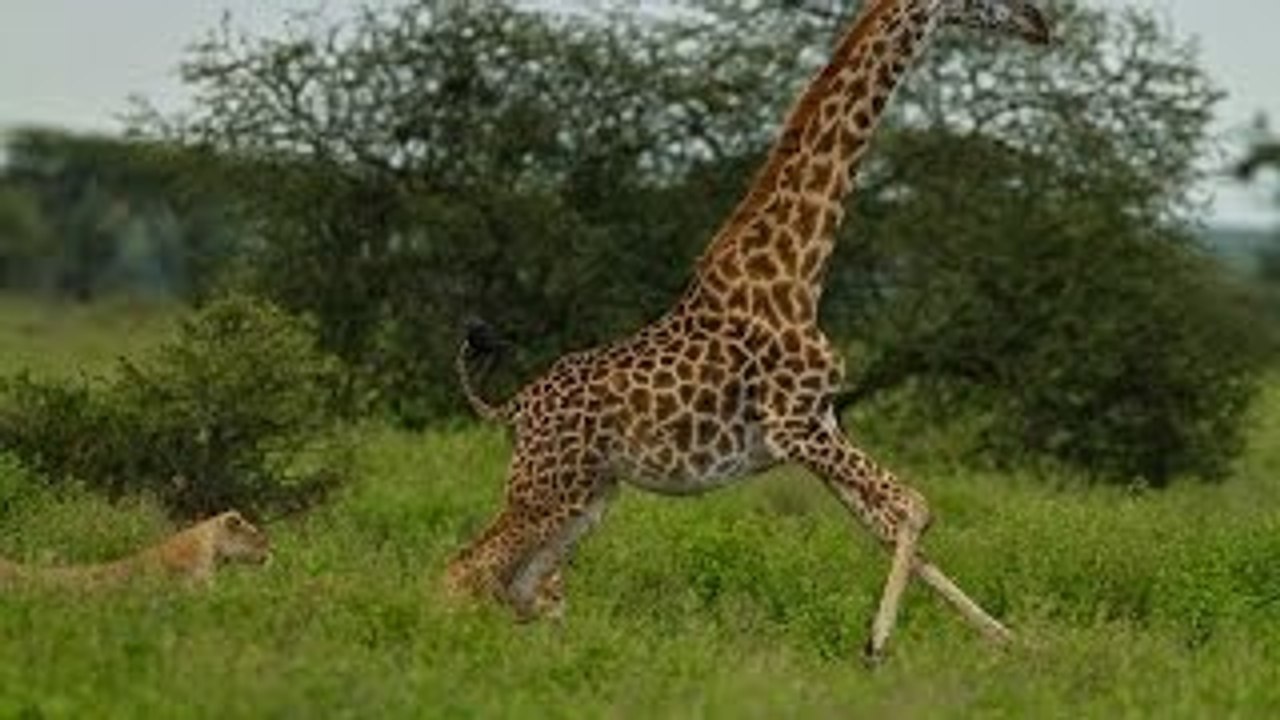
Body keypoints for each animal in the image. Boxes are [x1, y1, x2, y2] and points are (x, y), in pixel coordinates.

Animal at [446, 0, 1050, 661]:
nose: (1041, 25)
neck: (799, 271)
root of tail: (514, 406)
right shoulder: (795, 424)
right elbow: (916, 507)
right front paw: (876, 645)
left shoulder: (819, 425)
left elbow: (893, 528)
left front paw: (1018, 643)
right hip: (545, 488)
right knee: (466, 569)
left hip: (589, 495)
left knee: (525, 585)